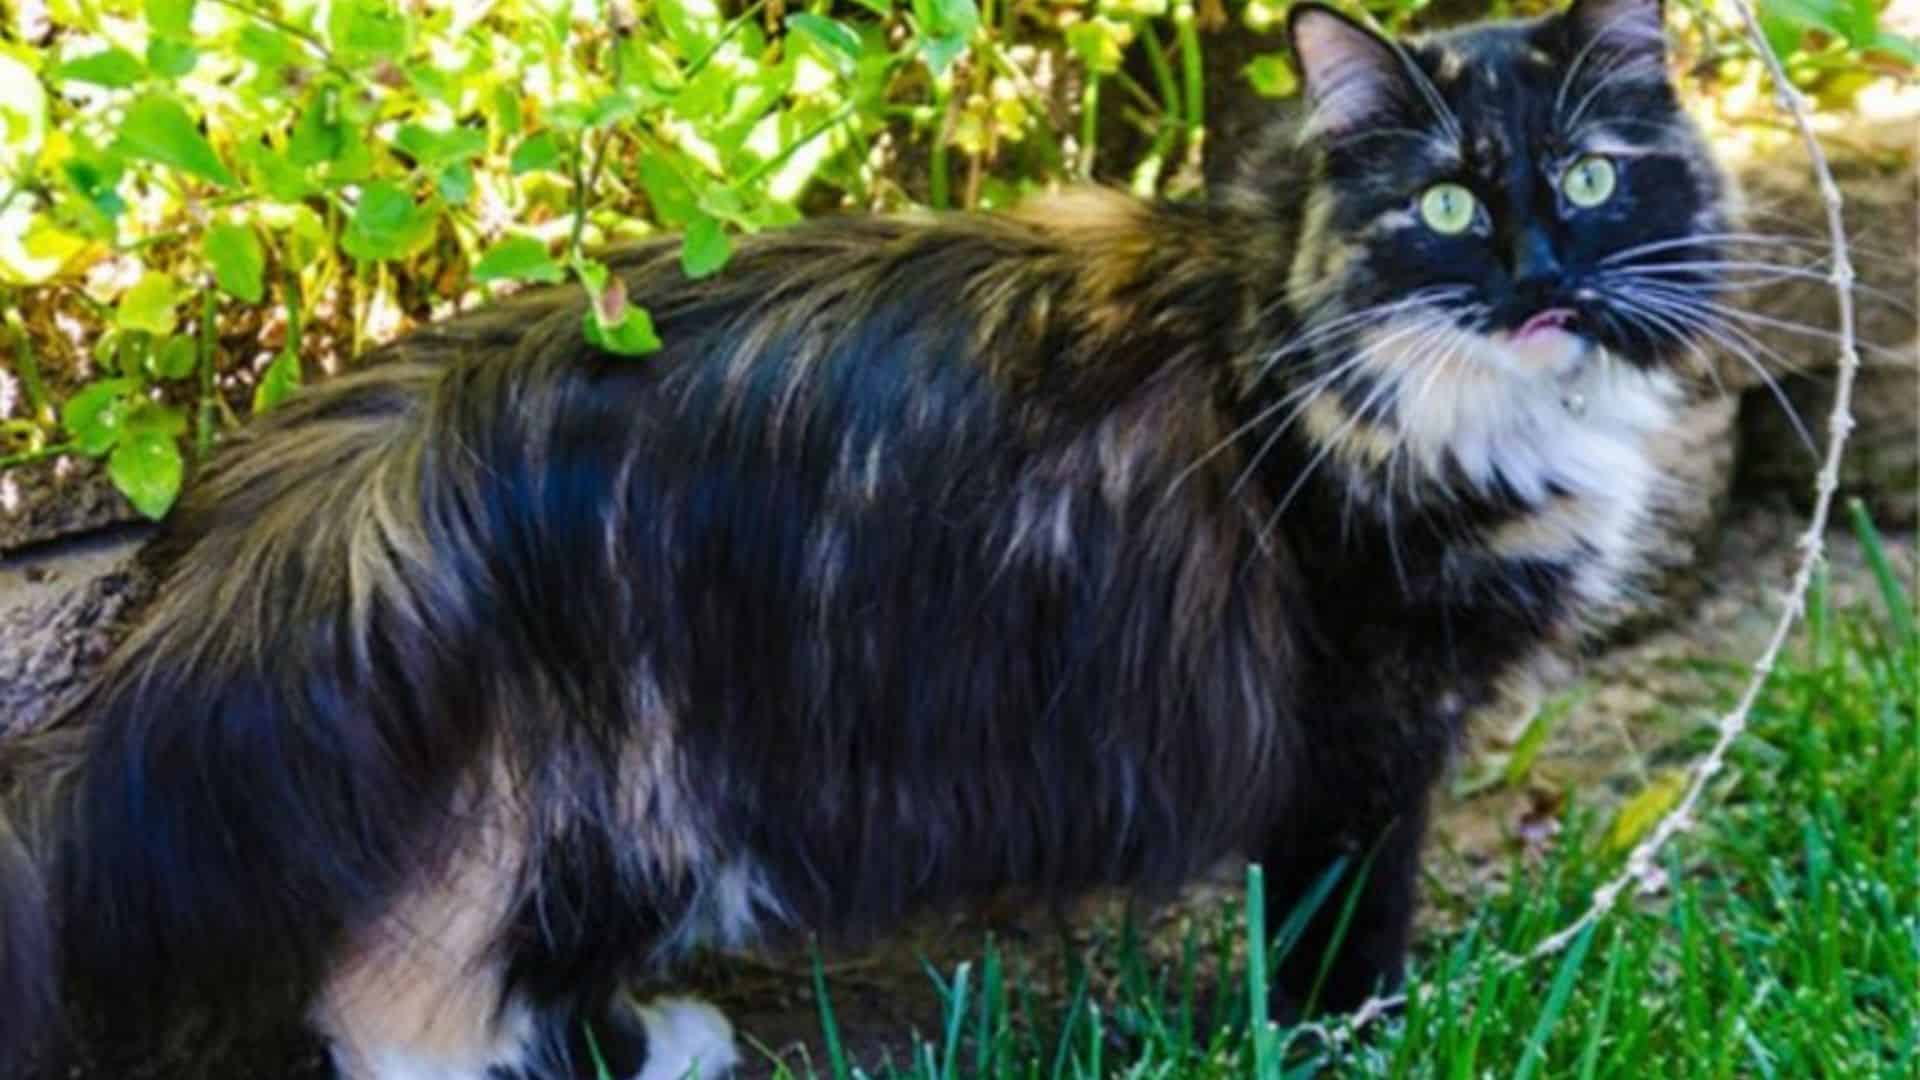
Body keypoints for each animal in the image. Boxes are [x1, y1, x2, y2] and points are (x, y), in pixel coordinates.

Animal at [0, 0, 1735, 1068]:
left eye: (1590, 179)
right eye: (1447, 204)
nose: (1541, 278)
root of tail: (411, 419)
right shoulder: (1360, 724)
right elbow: (1338, 930)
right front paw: (1346, 1037)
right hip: (635, 774)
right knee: (409, 1006)